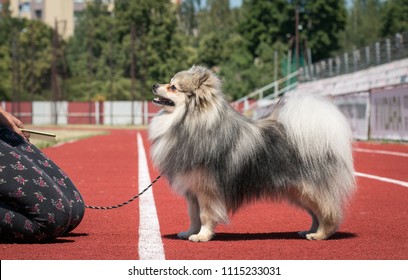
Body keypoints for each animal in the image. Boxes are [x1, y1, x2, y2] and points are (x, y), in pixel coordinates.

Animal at [148, 66, 356, 243]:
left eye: (173, 87)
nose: (154, 85)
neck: (187, 121)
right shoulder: (192, 192)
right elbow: (193, 216)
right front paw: (190, 232)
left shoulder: (207, 190)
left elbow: (205, 215)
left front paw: (202, 236)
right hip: (299, 193)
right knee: (316, 213)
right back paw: (310, 231)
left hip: (309, 189)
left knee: (329, 212)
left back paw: (320, 234)